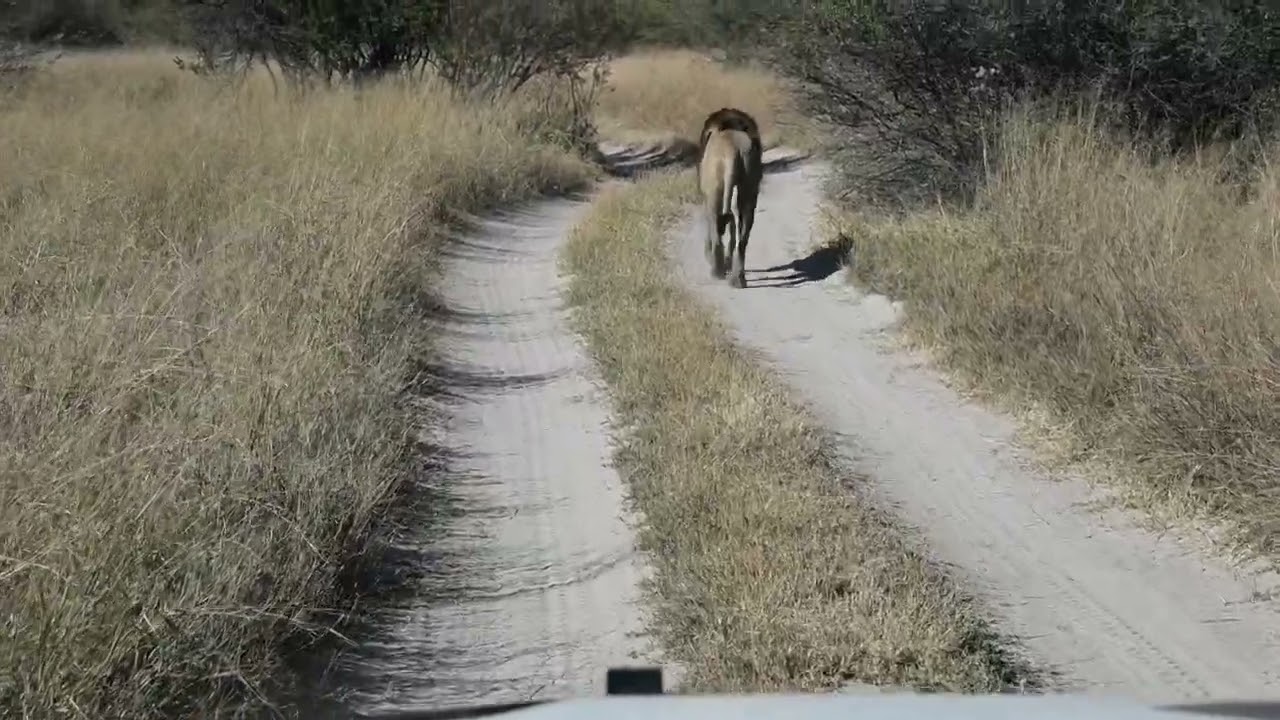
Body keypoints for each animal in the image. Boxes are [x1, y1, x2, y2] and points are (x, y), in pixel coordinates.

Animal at [699, 124, 764, 289]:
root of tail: (732, 150)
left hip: (715, 183)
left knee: (715, 222)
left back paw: (717, 271)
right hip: (749, 176)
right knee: (743, 234)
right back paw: (737, 280)